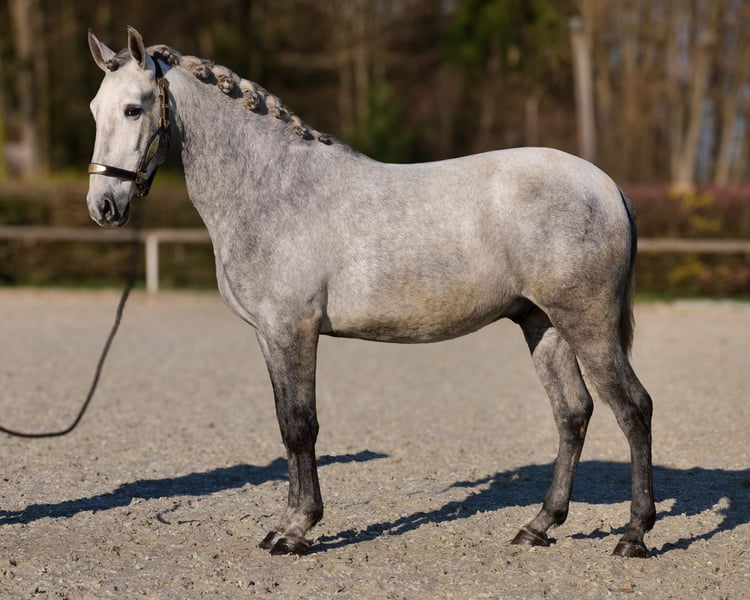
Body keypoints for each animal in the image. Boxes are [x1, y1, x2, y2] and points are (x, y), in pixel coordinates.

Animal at [86, 27, 655, 558]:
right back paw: (538, 526)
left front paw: (295, 530)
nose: (103, 206)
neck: (272, 188)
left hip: (588, 325)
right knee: (573, 413)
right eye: (95, 110)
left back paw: (634, 535)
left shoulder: (290, 330)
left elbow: (300, 425)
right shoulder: (269, 336)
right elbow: (287, 424)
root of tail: (607, 186)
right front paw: (290, 523)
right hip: (544, 324)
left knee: (633, 408)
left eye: (134, 108)